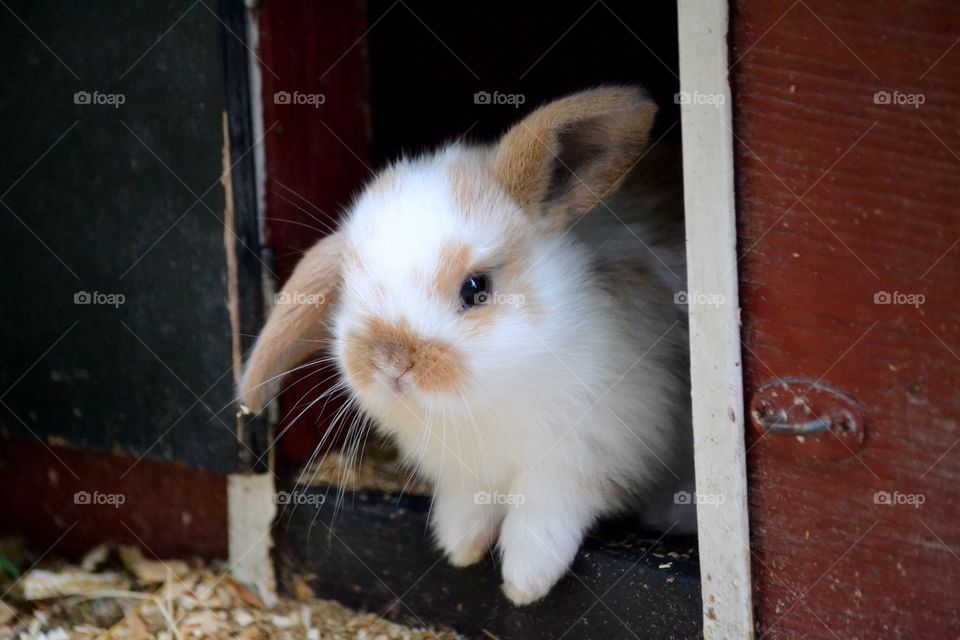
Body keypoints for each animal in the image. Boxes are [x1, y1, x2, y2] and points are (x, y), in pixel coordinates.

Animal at [237, 89, 692, 604]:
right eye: (348, 287)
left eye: (476, 288)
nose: (392, 362)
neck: (482, 406)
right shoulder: (466, 473)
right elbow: (469, 504)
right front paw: (461, 546)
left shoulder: (587, 453)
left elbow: (546, 511)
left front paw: (525, 582)